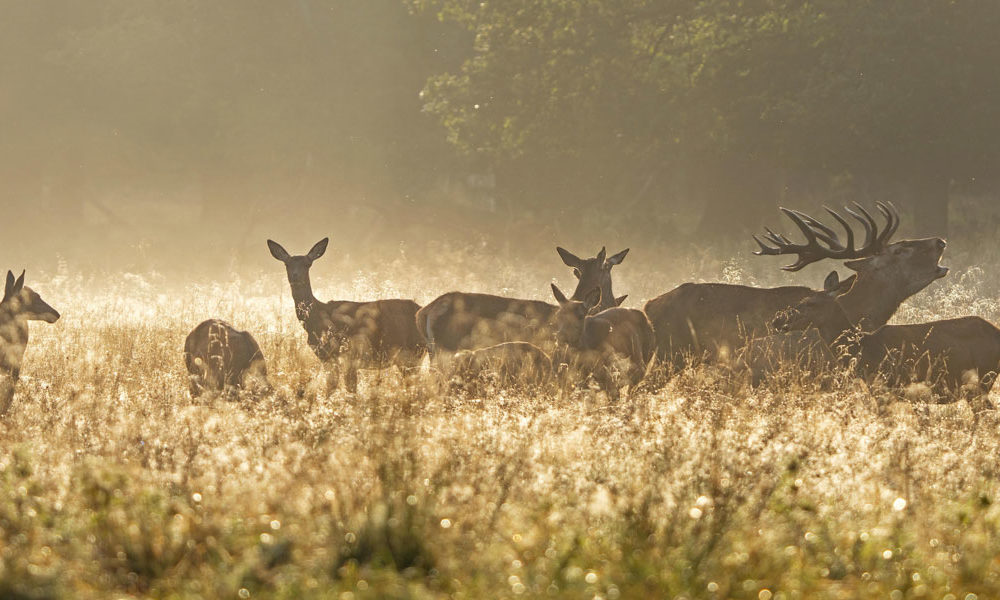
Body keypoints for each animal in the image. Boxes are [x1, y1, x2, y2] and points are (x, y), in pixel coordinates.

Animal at [268, 239, 424, 394]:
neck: (315, 321)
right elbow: (331, 388)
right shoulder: (327, 359)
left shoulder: (349, 355)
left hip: (411, 353)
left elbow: (349, 390)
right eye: (287, 264)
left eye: (307, 264)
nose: (295, 276)